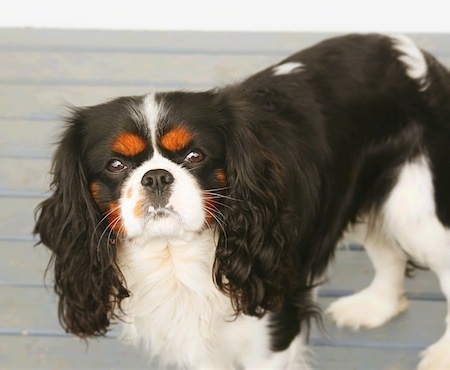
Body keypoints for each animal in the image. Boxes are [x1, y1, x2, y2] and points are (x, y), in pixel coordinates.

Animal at [34, 33, 450, 368]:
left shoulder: (272, 332)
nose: (156, 176)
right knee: (388, 251)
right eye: (116, 165)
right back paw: (376, 307)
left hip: (419, 212)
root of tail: (412, 52)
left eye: (195, 156)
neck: (174, 254)